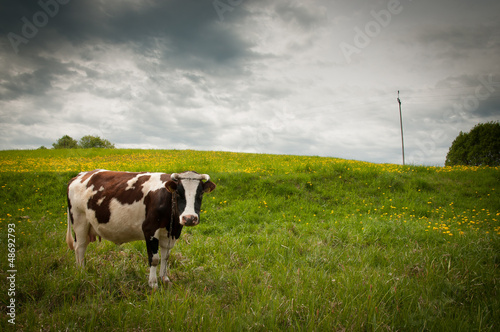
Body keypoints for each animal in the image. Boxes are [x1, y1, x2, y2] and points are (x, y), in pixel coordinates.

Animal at [66, 169, 215, 288]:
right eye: (178, 193)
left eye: (200, 194)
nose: (189, 218)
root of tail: (80, 175)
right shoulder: (149, 230)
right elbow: (154, 259)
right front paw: (153, 284)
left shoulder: (171, 232)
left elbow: (165, 257)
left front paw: (165, 279)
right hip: (79, 220)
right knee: (80, 247)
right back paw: (81, 272)